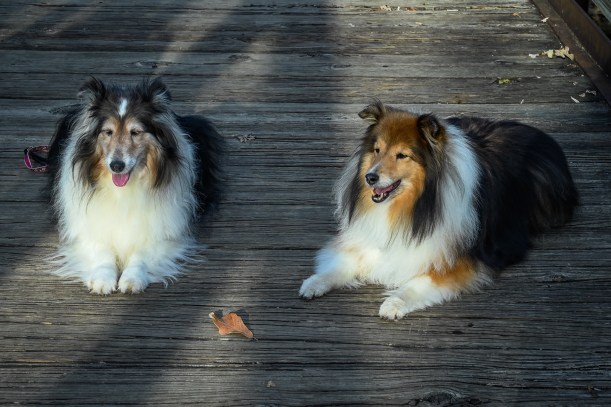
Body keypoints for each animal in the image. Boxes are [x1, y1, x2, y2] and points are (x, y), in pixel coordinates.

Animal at [47, 77, 223, 294]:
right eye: (108, 132)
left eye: (136, 132)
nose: (117, 166)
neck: (123, 191)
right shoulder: (89, 227)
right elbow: (102, 249)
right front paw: (102, 279)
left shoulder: (163, 232)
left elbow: (141, 254)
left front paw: (132, 279)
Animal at [300, 101, 578, 319]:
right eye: (377, 150)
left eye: (402, 155)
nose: (370, 177)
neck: (410, 207)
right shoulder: (370, 241)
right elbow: (343, 263)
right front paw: (315, 282)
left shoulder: (461, 260)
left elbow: (422, 280)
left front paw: (394, 302)